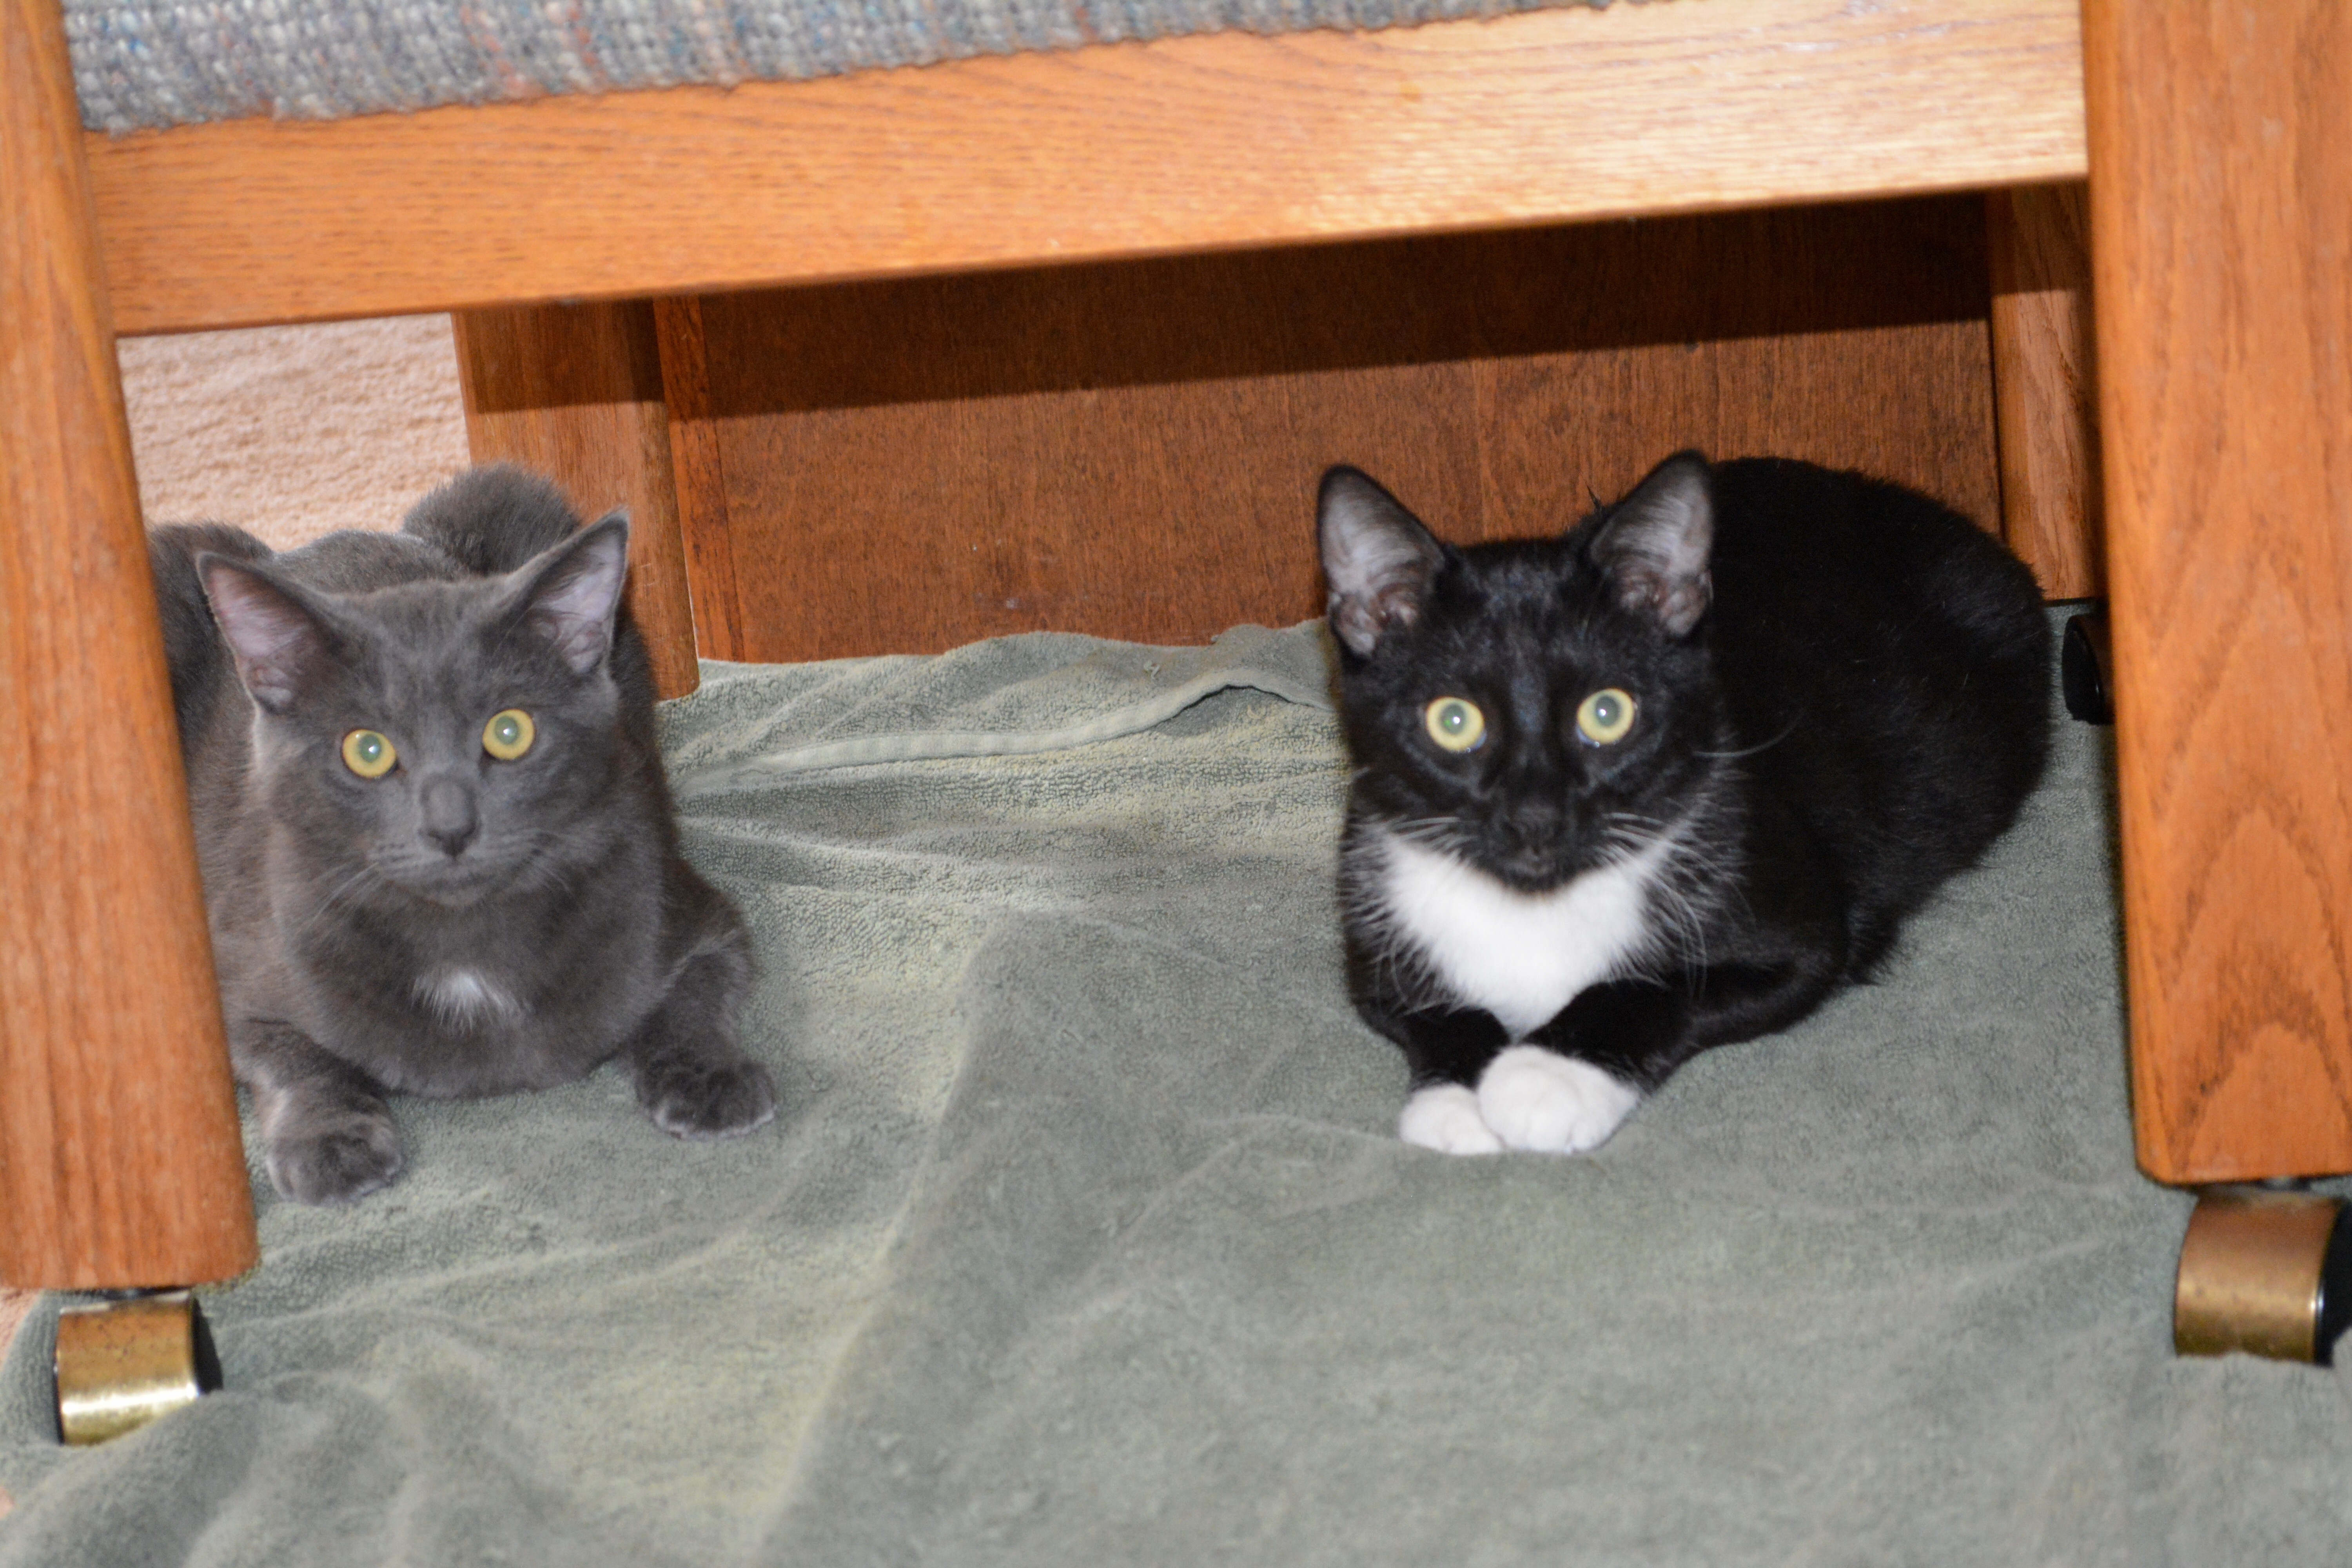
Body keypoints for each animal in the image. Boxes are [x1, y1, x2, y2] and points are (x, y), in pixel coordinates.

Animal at [149, 465, 775, 1204]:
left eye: (510, 732)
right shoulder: (237, 969)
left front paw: (709, 1080)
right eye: (366, 750)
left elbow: (695, 995)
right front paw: (329, 1140)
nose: (451, 826)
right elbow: (290, 1056)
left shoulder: (690, 909)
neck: (466, 946)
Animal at [1317, 452, 2050, 1156]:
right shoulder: (1372, 926)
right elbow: (1426, 1008)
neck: (1538, 902)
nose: (1536, 818)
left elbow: (1653, 988)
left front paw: (1547, 1078)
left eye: (1607, 712)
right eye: (1453, 721)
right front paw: (1461, 1099)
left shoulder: (1800, 922)